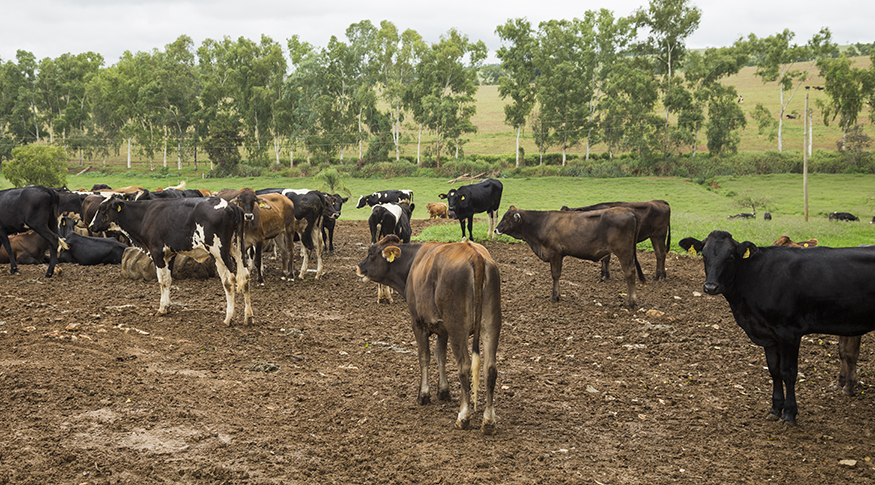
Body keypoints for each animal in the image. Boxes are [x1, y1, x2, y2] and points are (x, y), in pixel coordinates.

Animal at [89, 194, 252, 326]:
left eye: (102, 209)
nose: (91, 226)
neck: (145, 215)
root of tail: (230, 205)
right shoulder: (169, 255)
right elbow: (168, 280)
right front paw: (167, 307)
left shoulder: (157, 253)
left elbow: (162, 281)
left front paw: (162, 308)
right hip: (237, 249)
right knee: (244, 277)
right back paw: (248, 317)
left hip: (219, 252)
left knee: (229, 280)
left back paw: (228, 318)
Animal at [354, 234, 504, 434]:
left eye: (371, 253)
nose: (359, 267)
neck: (412, 263)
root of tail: (475, 255)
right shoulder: (442, 328)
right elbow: (440, 355)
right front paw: (443, 391)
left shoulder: (418, 323)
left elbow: (424, 356)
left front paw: (424, 394)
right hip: (491, 325)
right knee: (490, 369)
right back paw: (488, 420)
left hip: (458, 328)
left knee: (464, 367)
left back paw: (463, 416)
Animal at [496, 205, 648, 306]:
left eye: (506, 217)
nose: (496, 229)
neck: (541, 223)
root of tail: (628, 210)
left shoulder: (555, 253)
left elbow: (555, 275)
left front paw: (555, 296)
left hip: (624, 252)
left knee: (629, 272)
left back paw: (631, 302)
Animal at [680, 231, 875, 424]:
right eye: (704, 255)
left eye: (730, 257)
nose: (710, 287)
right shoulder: (769, 336)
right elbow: (774, 370)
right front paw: (775, 408)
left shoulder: (789, 333)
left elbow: (788, 372)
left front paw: (789, 413)